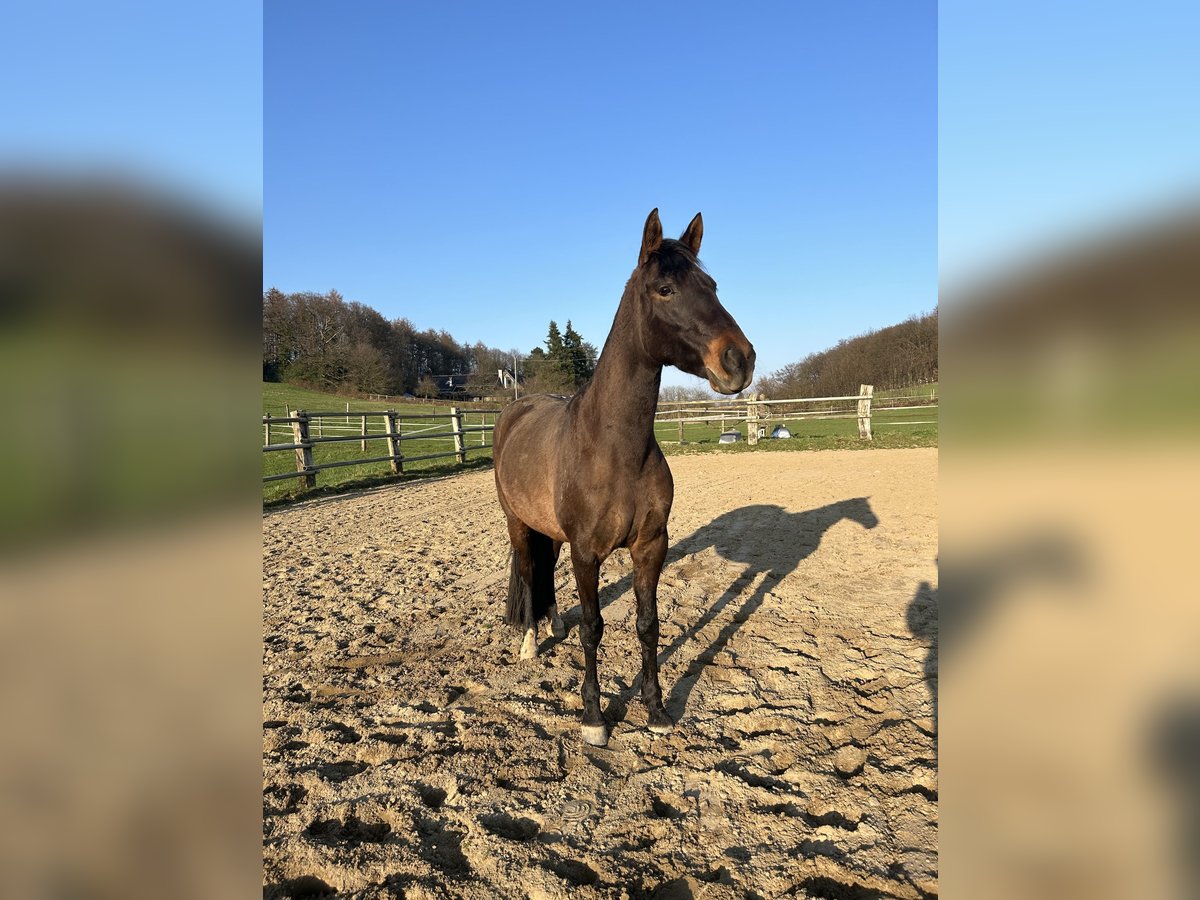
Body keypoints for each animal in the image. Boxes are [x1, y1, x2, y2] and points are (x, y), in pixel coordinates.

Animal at [492, 211, 753, 748]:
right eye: (665, 289)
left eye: (713, 286)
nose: (739, 360)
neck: (614, 449)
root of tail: (515, 412)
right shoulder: (587, 552)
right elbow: (594, 628)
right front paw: (594, 718)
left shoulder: (650, 545)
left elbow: (647, 625)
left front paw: (655, 709)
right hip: (519, 526)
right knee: (529, 574)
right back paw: (530, 643)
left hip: (552, 533)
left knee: (547, 576)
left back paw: (555, 625)